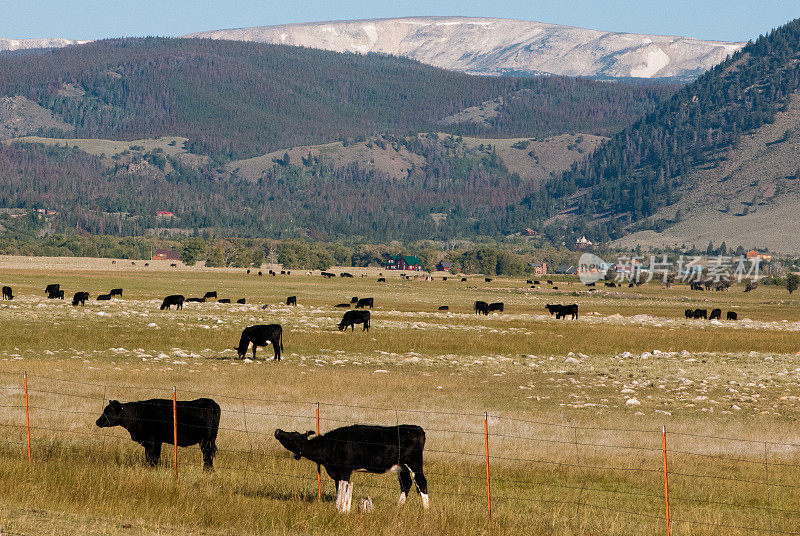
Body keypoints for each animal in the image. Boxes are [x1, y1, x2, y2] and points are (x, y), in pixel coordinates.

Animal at [276, 426, 428, 512]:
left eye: (293, 435)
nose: (278, 431)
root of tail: (416, 428)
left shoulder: (345, 471)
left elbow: (343, 489)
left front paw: (341, 508)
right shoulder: (337, 473)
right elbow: (338, 489)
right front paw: (338, 506)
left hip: (414, 464)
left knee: (421, 482)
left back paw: (426, 509)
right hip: (402, 467)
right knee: (406, 484)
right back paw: (399, 506)